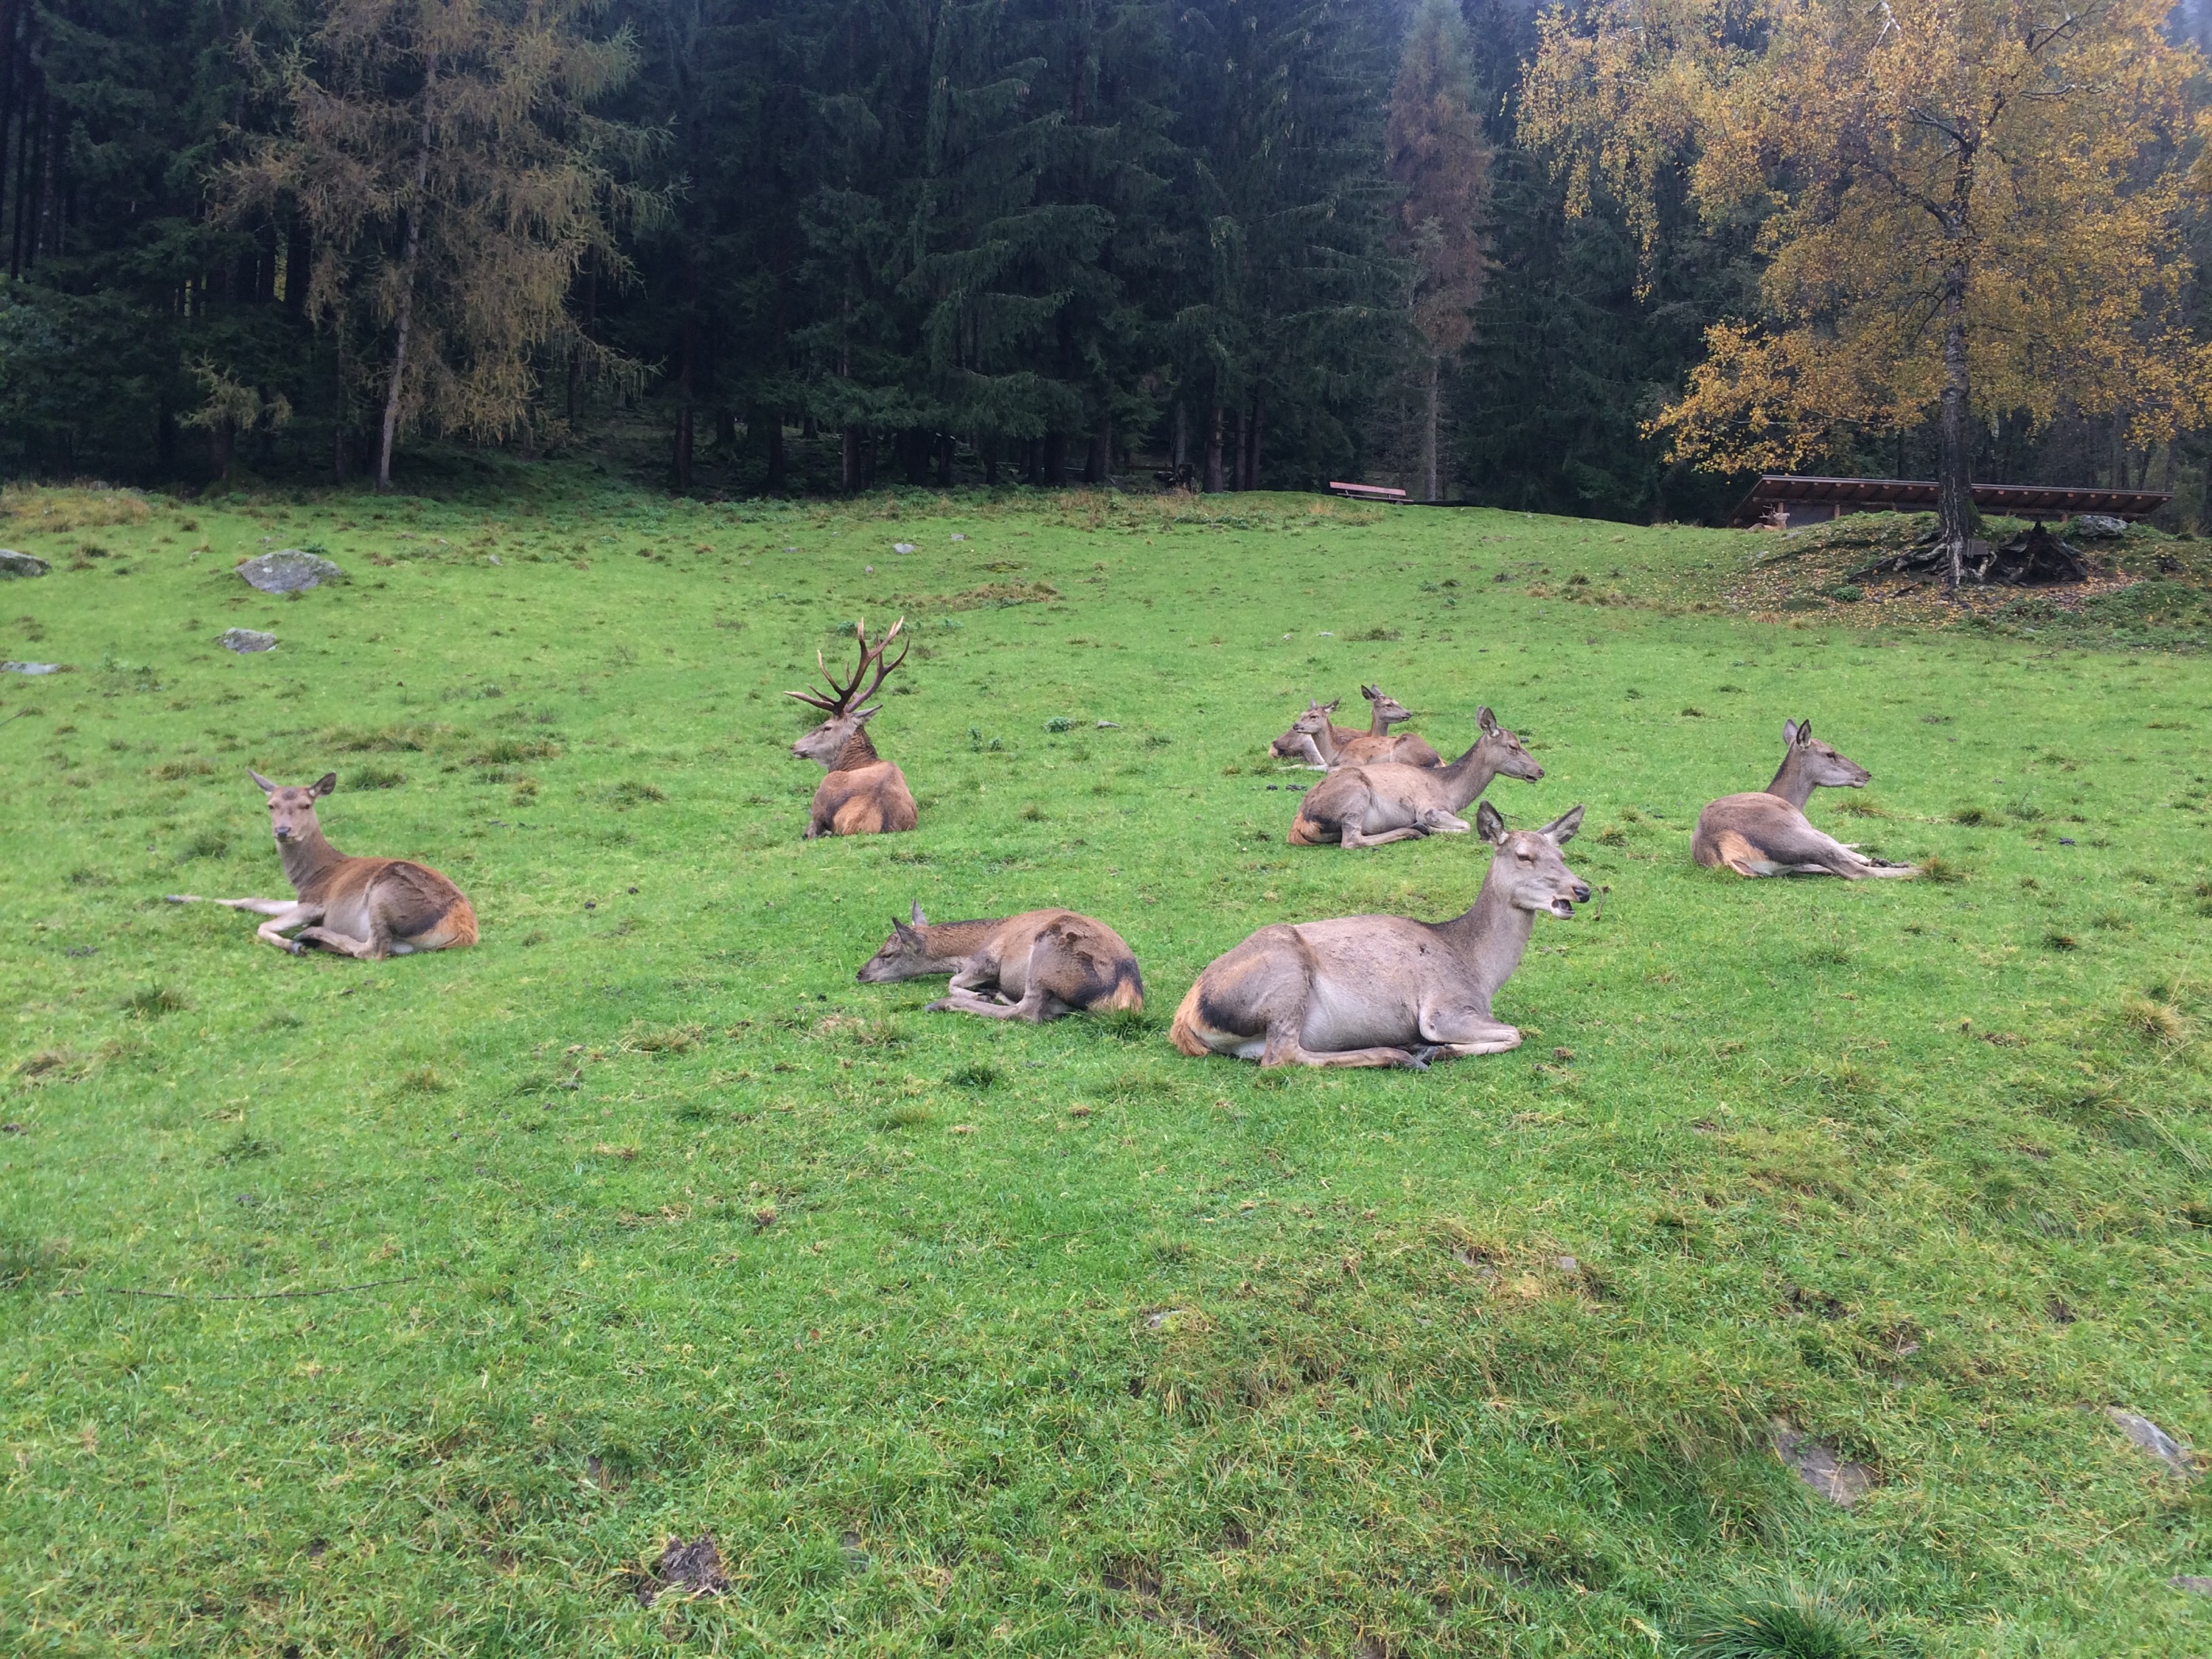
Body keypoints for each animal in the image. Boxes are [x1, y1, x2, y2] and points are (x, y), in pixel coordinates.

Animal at [167, 770, 478, 958]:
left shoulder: (315, 903)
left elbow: (263, 925)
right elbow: (251, 900)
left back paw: (310, 937)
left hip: (384, 891)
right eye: (270, 805)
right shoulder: (301, 899)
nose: (283, 831)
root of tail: (464, 932)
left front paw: (292, 945)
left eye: (306, 804)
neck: (312, 875)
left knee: (373, 950)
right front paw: (174, 896)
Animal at [856, 902, 1143, 1021]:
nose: (860, 974)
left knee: (1027, 1012)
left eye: (887, 954)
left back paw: (946, 1003)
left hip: (1046, 958)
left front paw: (978, 993)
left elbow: (952, 981)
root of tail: (1126, 996)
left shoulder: (986, 960)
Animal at [1172, 801, 1587, 1067]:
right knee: (1282, 1057)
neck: (1480, 971)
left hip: (1250, 1039)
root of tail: (1185, 1021)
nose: (1581, 890)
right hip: (1286, 979)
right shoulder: (1444, 1008)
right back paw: (1398, 1055)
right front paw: (1438, 1050)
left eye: (1562, 856)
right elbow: (1515, 1033)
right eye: (1523, 856)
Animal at [1287, 706, 1542, 847]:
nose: (1540, 771)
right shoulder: (1430, 808)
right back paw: (1413, 830)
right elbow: (1466, 825)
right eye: (1513, 746)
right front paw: (1429, 828)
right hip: (1355, 796)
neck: (1452, 793)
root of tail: (1299, 824)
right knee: (1351, 840)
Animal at [1693, 719, 1916, 879]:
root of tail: (1723, 848)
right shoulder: (1813, 830)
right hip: (1798, 838)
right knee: (1853, 870)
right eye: (1830, 753)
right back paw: (1918, 869)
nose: (1866, 774)